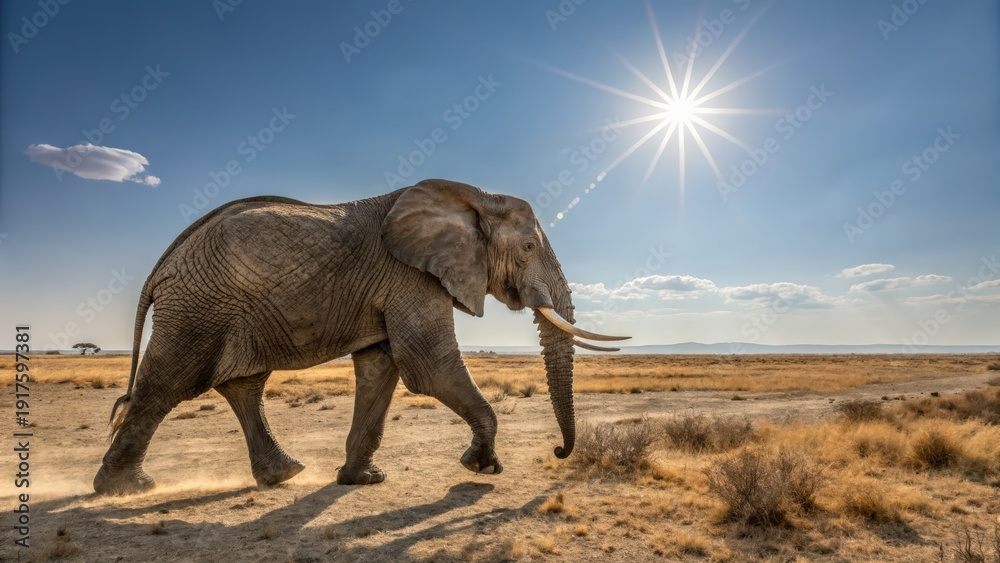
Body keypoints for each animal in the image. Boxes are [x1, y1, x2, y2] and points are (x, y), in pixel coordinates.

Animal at [93, 179, 628, 495]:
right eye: (529, 247)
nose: (559, 452)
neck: (474, 195)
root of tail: (164, 263)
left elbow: (379, 368)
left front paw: (362, 481)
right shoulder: (412, 276)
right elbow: (427, 366)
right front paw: (482, 468)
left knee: (243, 386)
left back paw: (284, 474)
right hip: (197, 309)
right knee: (164, 387)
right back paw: (125, 489)